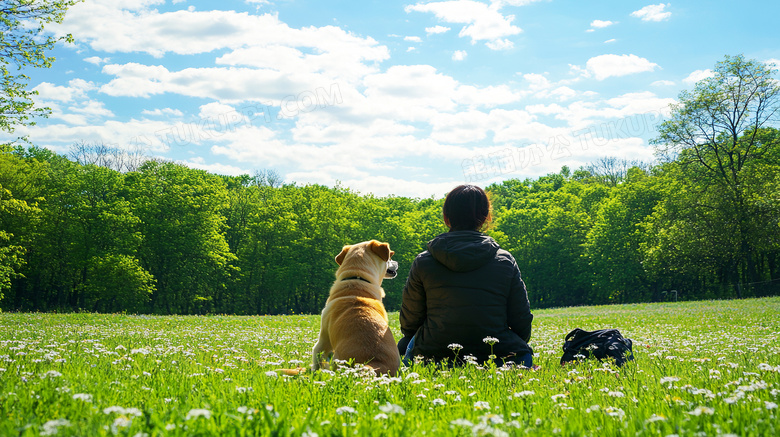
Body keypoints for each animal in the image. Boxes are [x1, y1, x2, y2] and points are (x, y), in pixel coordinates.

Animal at [310, 238, 400, 374]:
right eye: (390, 257)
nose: (397, 262)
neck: (357, 278)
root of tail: (372, 364)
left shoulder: (324, 339)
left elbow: (317, 359)